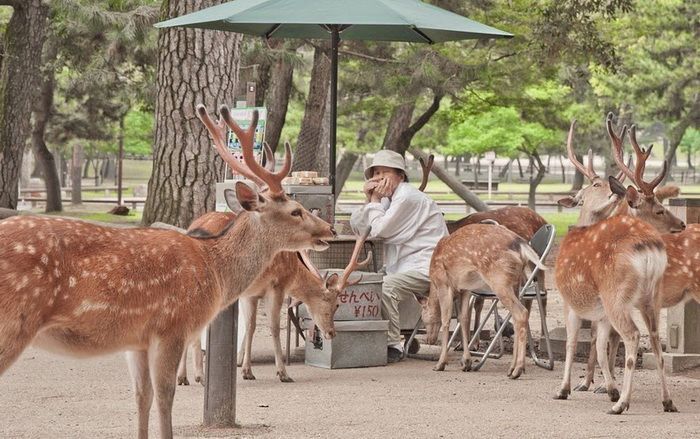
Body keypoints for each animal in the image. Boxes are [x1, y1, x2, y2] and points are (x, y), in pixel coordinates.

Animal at [0, 104, 336, 439]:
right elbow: (165, 395)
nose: (330, 229)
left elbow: (142, 396)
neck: (214, 269)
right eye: (295, 210)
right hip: (13, 324)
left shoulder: (137, 340)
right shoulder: (173, 325)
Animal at [416, 223, 548, 378]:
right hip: (515, 283)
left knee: (521, 313)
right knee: (517, 317)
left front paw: (440, 364)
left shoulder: (444, 283)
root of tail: (521, 246)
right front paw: (466, 362)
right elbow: (464, 319)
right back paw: (511, 368)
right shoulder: (465, 289)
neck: (434, 285)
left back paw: (518, 370)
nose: (428, 340)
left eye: (423, 318)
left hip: (499, 279)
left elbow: (446, 320)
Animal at [552, 117, 684, 416]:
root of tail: (649, 248)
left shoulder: (570, 301)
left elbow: (572, 344)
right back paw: (667, 401)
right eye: (659, 209)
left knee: (633, 336)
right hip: (651, 297)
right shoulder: (599, 312)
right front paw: (603, 386)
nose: (682, 224)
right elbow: (599, 345)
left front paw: (565, 389)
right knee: (655, 340)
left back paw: (622, 403)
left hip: (617, 295)